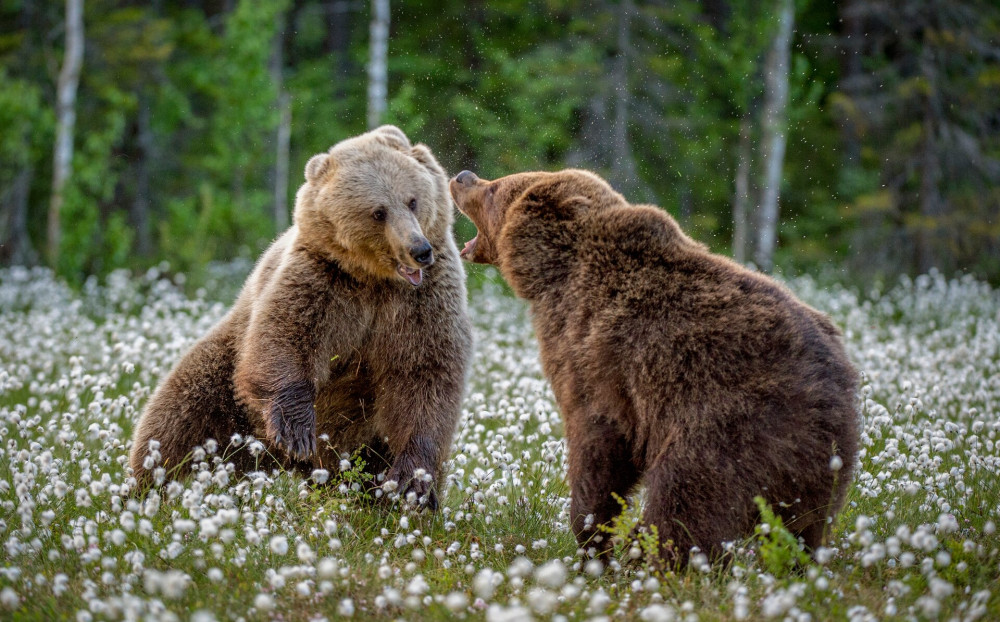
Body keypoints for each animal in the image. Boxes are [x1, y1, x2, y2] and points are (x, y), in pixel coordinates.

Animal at [130, 128, 472, 512]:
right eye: (378, 212)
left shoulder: (420, 303)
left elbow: (426, 373)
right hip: (224, 372)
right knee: (177, 419)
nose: (419, 250)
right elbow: (286, 336)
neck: (374, 279)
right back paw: (144, 489)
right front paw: (297, 431)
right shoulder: (321, 280)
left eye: (412, 200)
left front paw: (411, 481)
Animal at [452, 168, 860, 564]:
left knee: (685, 502)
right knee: (801, 527)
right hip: (817, 468)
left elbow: (598, 444)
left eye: (495, 189)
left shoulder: (596, 358)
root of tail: (835, 386)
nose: (462, 176)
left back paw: (651, 560)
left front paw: (593, 538)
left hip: (729, 425)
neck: (556, 277)